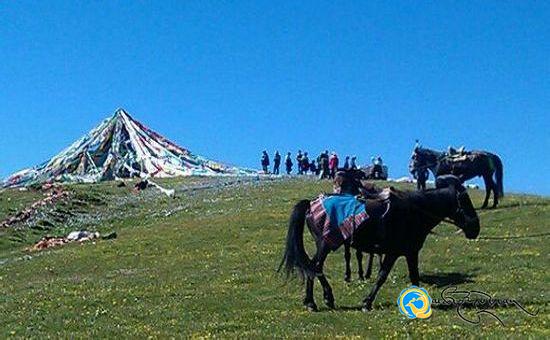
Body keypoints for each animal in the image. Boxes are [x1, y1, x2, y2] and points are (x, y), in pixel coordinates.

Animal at [282, 174, 480, 312]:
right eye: (464, 201)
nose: (475, 228)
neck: (415, 212)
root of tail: (311, 204)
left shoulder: (410, 253)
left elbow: (414, 277)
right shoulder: (394, 253)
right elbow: (382, 276)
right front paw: (367, 303)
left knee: (312, 266)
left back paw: (315, 301)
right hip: (325, 244)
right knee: (314, 266)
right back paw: (319, 301)